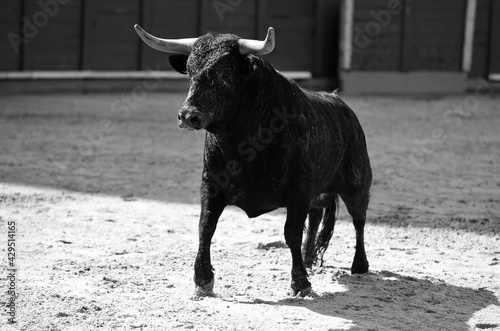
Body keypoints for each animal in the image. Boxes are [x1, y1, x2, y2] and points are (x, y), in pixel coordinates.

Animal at [136, 26, 372, 296]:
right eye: (190, 71)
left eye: (226, 72)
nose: (187, 116)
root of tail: (341, 105)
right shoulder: (211, 184)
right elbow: (206, 226)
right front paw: (203, 279)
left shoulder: (298, 189)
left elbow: (291, 232)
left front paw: (300, 282)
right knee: (316, 215)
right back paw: (309, 258)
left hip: (357, 184)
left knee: (358, 220)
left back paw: (359, 265)